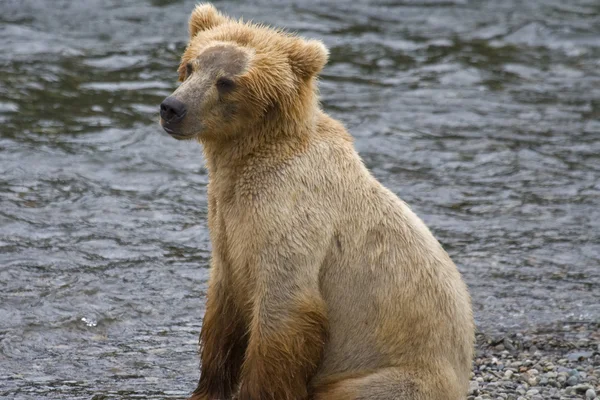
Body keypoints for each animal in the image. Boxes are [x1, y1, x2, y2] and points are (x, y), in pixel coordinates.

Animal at [159, 3, 474, 400]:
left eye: (227, 81)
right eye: (191, 65)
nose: (172, 107)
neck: (248, 157)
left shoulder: (291, 216)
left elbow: (282, 311)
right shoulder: (227, 225)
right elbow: (223, 308)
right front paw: (206, 388)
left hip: (395, 377)